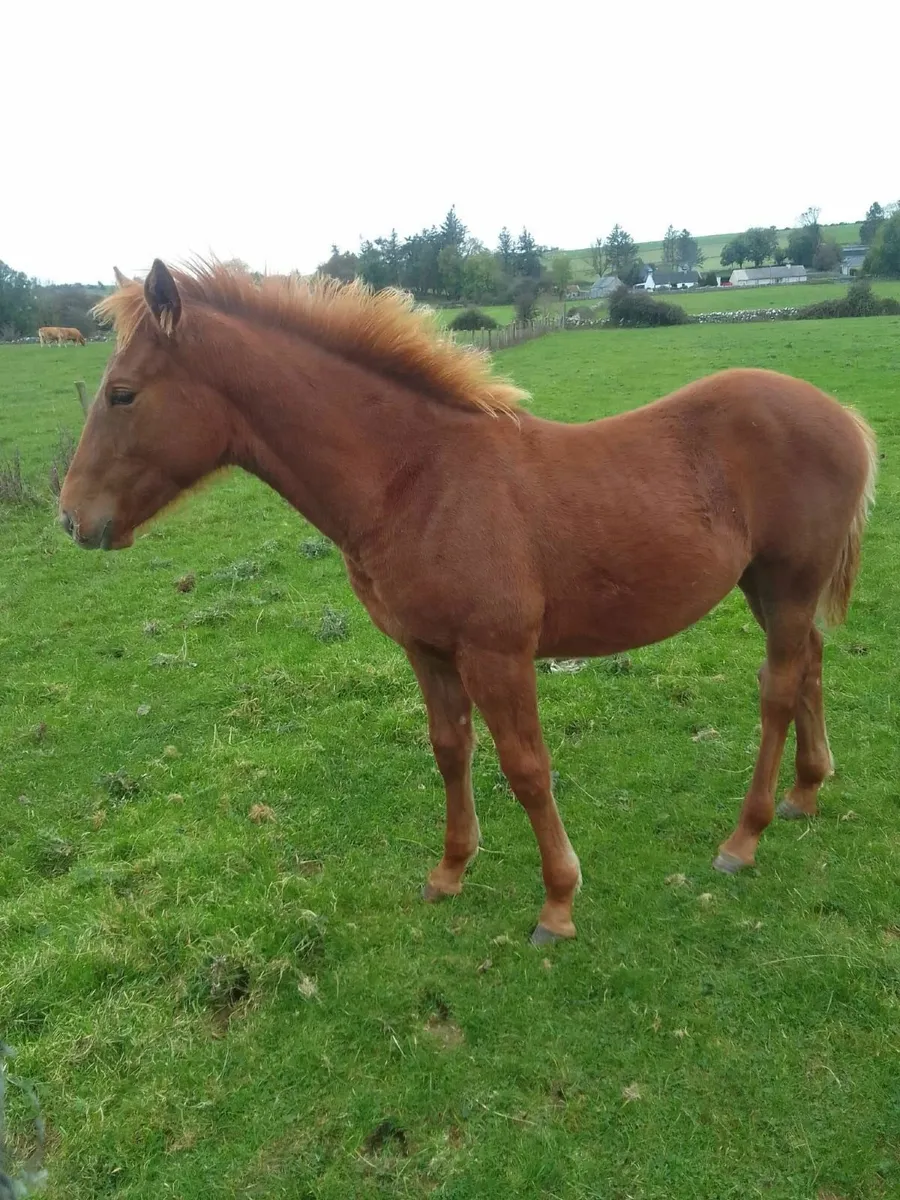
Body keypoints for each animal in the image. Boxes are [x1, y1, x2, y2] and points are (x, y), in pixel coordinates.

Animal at [58, 259, 877, 944]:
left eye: (122, 394)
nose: (71, 519)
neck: (417, 477)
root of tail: (845, 418)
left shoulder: (498, 653)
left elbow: (527, 767)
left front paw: (558, 903)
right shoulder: (427, 650)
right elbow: (451, 750)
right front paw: (450, 871)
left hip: (789, 582)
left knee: (777, 688)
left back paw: (744, 838)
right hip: (766, 587)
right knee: (810, 664)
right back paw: (806, 792)